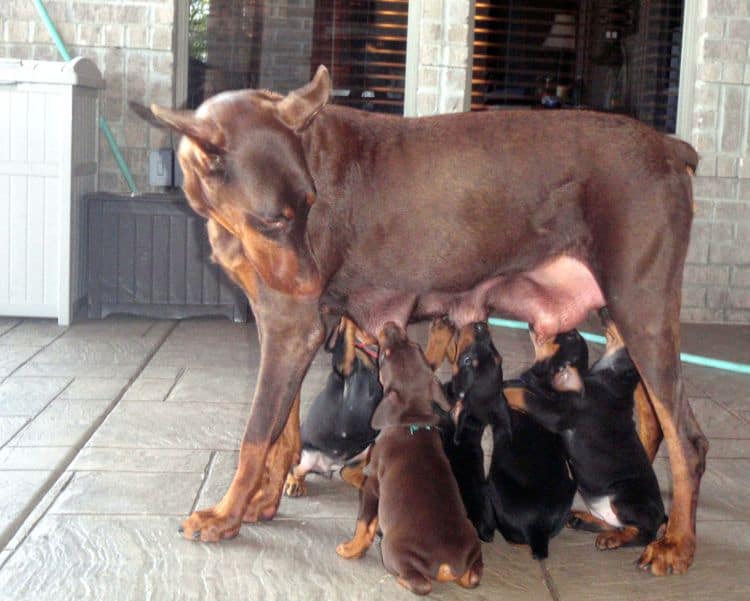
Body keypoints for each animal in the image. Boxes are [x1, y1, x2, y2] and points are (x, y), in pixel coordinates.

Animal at [286, 316, 384, 494]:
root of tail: (330, 465)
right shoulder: (345, 363)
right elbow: (347, 328)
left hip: (366, 450)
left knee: (347, 472)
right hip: (307, 458)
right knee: (296, 469)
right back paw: (294, 482)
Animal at [336, 322, 482, 592]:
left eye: (385, 356)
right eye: (416, 346)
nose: (390, 324)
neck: (412, 422)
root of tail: (448, 565)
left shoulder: (372, 484)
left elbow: (363, 524)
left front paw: (351, 549)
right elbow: (371, 523)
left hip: (394, 550)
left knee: (420, 584)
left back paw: (400, 578)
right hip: (473, 546)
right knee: (473, 578)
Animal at [508, 322, 668, 552]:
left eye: (568, 336)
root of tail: (661, 517)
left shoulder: (557, 413)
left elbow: (521, 394)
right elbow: (522, 386)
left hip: (623, 495)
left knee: (643, 534)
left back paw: (612, 539)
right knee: (617, 523)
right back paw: (583, 520)